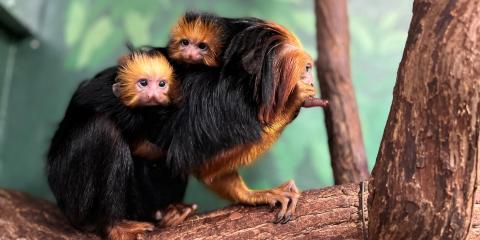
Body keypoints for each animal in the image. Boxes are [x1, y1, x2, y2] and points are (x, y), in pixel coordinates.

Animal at [45, 49, 195, 240]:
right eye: (143, 83)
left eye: (162, 84)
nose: (154, 95)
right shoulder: (105, 85)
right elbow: (86, 96)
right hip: (73, 199)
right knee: (104, 129)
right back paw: (112, 225)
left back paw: (166, 211)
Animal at [163, 20, 328, 223]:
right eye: (307, 68)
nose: (313, 83)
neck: (250, 89)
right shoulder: (220, 108)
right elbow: (191, 158)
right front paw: (293, 103)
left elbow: (208, 171)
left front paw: (254, 195)